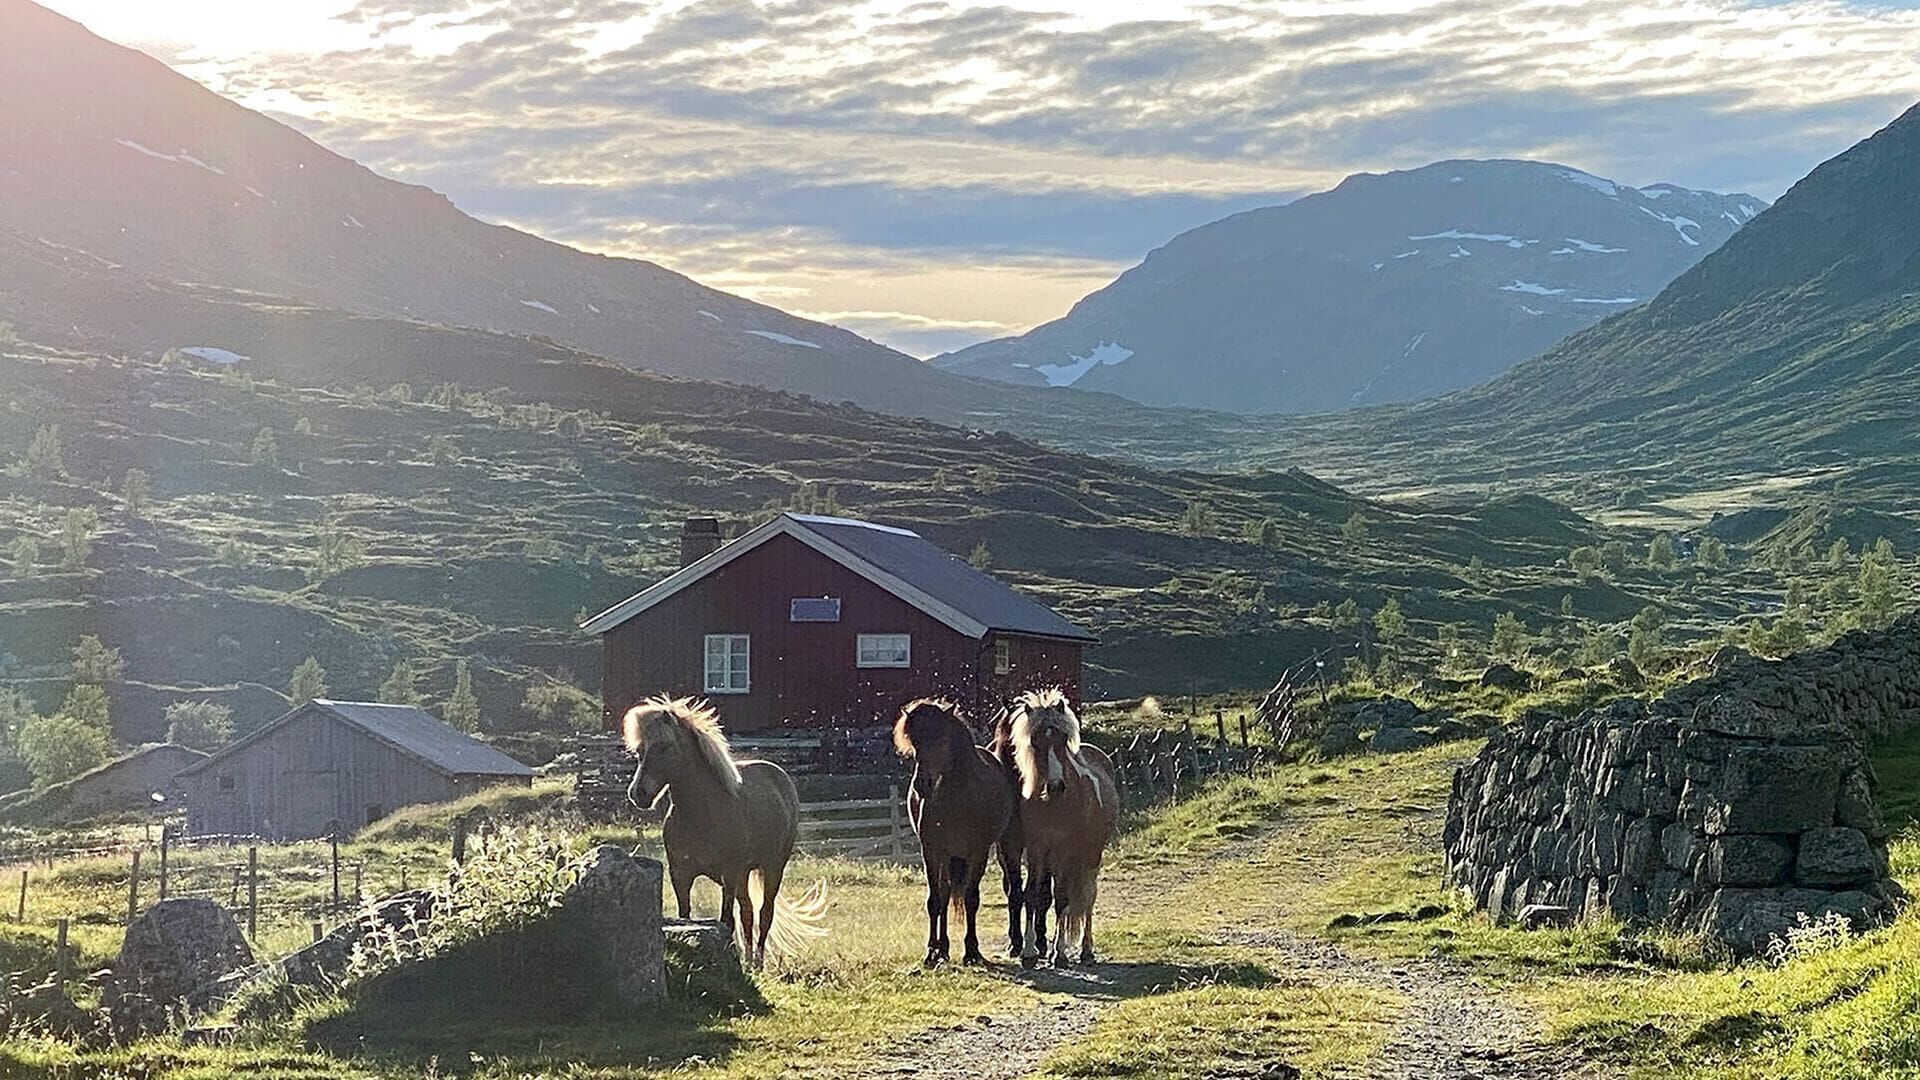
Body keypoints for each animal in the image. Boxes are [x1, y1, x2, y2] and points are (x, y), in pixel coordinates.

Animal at [622, 691, 817, 960]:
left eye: (665, 746)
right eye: (639, 750)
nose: (638, 794)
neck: (702, 816)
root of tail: (780, 776)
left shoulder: (729, 874)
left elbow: (727, 921)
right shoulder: (680, 875)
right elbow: (686, 917)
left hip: (772, 867)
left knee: (764, 914)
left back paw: (757, 962)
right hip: (745, 874)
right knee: (748, 912)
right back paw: (748, 959)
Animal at [894, 699, 1021, 968]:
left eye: (941, 739)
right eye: (914, 742)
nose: (921, 785)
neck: (957, 796)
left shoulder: (978, 852)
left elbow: (972, 899)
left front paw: (972, 950)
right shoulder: (931, 851)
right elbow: (935, 900)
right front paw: (931, 952)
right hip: (947, 857)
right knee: (944, 894)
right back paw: (942, 949)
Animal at [1006, 687, 1113, 968]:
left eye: (1063, 739)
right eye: (1034, 741)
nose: (1055, 786)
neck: (1053, 805)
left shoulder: (1066, 851)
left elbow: (1063, 899)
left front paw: (1060, 953)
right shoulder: (1036, 851)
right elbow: (1032, 895)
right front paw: (1029, 952)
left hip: (1090, 858)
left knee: (1087, 897)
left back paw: (1086, 950)